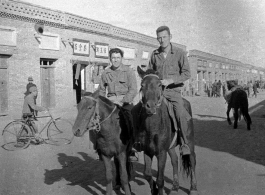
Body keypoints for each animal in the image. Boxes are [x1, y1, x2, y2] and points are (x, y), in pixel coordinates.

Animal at [132, 66, 196, 194]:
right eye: (142, 85)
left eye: (159, 85)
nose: (150, 106)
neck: (152, 128)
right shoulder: (148, 151)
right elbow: (147, 174)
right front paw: (154, 190)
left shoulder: (161, 153)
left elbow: (160, 180)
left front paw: (158, 189)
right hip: (170, 147)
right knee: (175, 160)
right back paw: (175, 186)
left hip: (189, 142)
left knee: (192, 160)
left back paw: (193, 188)